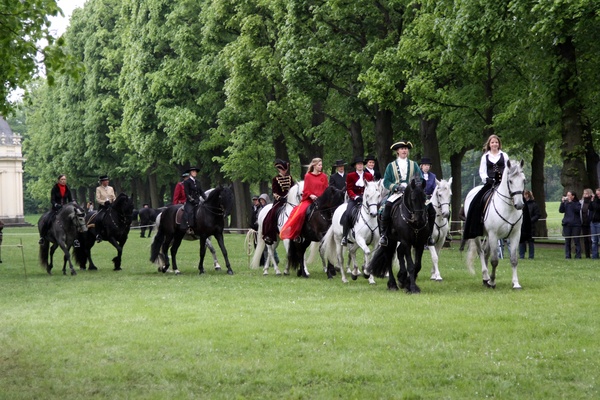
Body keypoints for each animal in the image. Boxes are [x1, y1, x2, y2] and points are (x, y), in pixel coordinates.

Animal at [462, 159, 524, 288]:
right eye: (510, 181)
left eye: (524, 180)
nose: (519, 205)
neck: (508, 208)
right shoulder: (494, 235)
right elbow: (494, 260)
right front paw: (492, 281)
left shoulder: (515, 235)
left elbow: (514, 260)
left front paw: (516, 283)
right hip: (479, 235)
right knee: (481, 252)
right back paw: (486, 277)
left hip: (489, 236)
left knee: (486, 252)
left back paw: (485, 279)